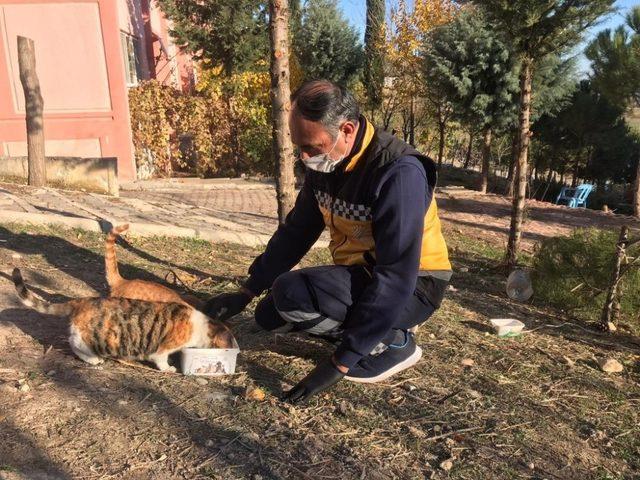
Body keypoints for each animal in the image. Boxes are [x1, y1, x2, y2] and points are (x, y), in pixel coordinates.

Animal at [12, 266, 234, 372]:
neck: (203, 325)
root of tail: (83, 301)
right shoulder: (163, 348)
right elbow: (161, 359)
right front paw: (169, 368)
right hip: (98, 337)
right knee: (74, 341)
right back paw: (93, 359)